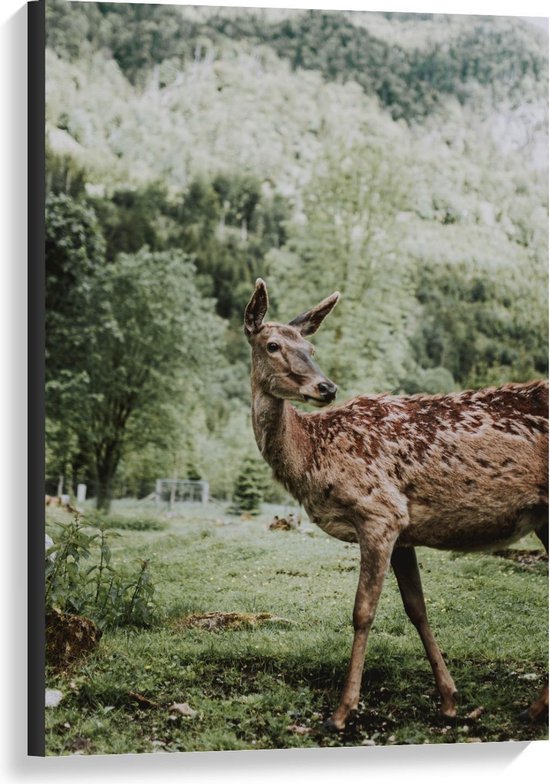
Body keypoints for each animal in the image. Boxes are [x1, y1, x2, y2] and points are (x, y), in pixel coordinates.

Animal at [247, 278, 550, 732]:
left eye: (310, 347)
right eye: (272, 345)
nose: (326, 387)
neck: (315, 456)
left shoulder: (379, 511)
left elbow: (363, 611)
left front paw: (342, 711)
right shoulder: (404, 531)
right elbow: (416, 608)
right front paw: (449, 699)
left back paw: (533, 708)